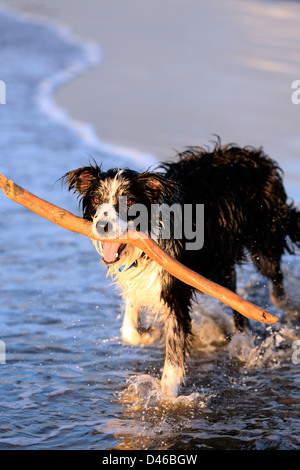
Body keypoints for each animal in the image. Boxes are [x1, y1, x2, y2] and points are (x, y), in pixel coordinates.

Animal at [63, 140, 300, 396]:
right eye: (97, 201)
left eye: (129, 202)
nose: (102, 226)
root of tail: (254, 155)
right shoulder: (142, 278)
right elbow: (128, 330)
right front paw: (151, 334)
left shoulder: (174, 286)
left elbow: (174, 355)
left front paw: (166, 398)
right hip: (220, 257)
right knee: (233, 290)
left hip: (263, 238)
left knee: (271, 279)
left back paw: (277, 312)